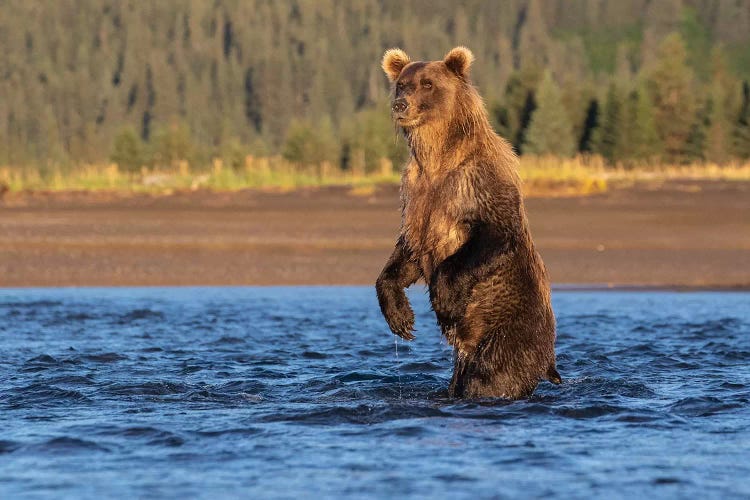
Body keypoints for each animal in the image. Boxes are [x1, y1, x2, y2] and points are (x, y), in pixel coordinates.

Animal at [376, 47, 564, 398]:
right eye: (401, 84)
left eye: (427, 84)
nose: (400, 105)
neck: (437, 156)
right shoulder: (416, 198)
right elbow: (406, 255)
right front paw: (401, 317)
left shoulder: (477, 182)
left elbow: (491, 234)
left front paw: (445, 301)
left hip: (507, 334)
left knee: (490, 376)